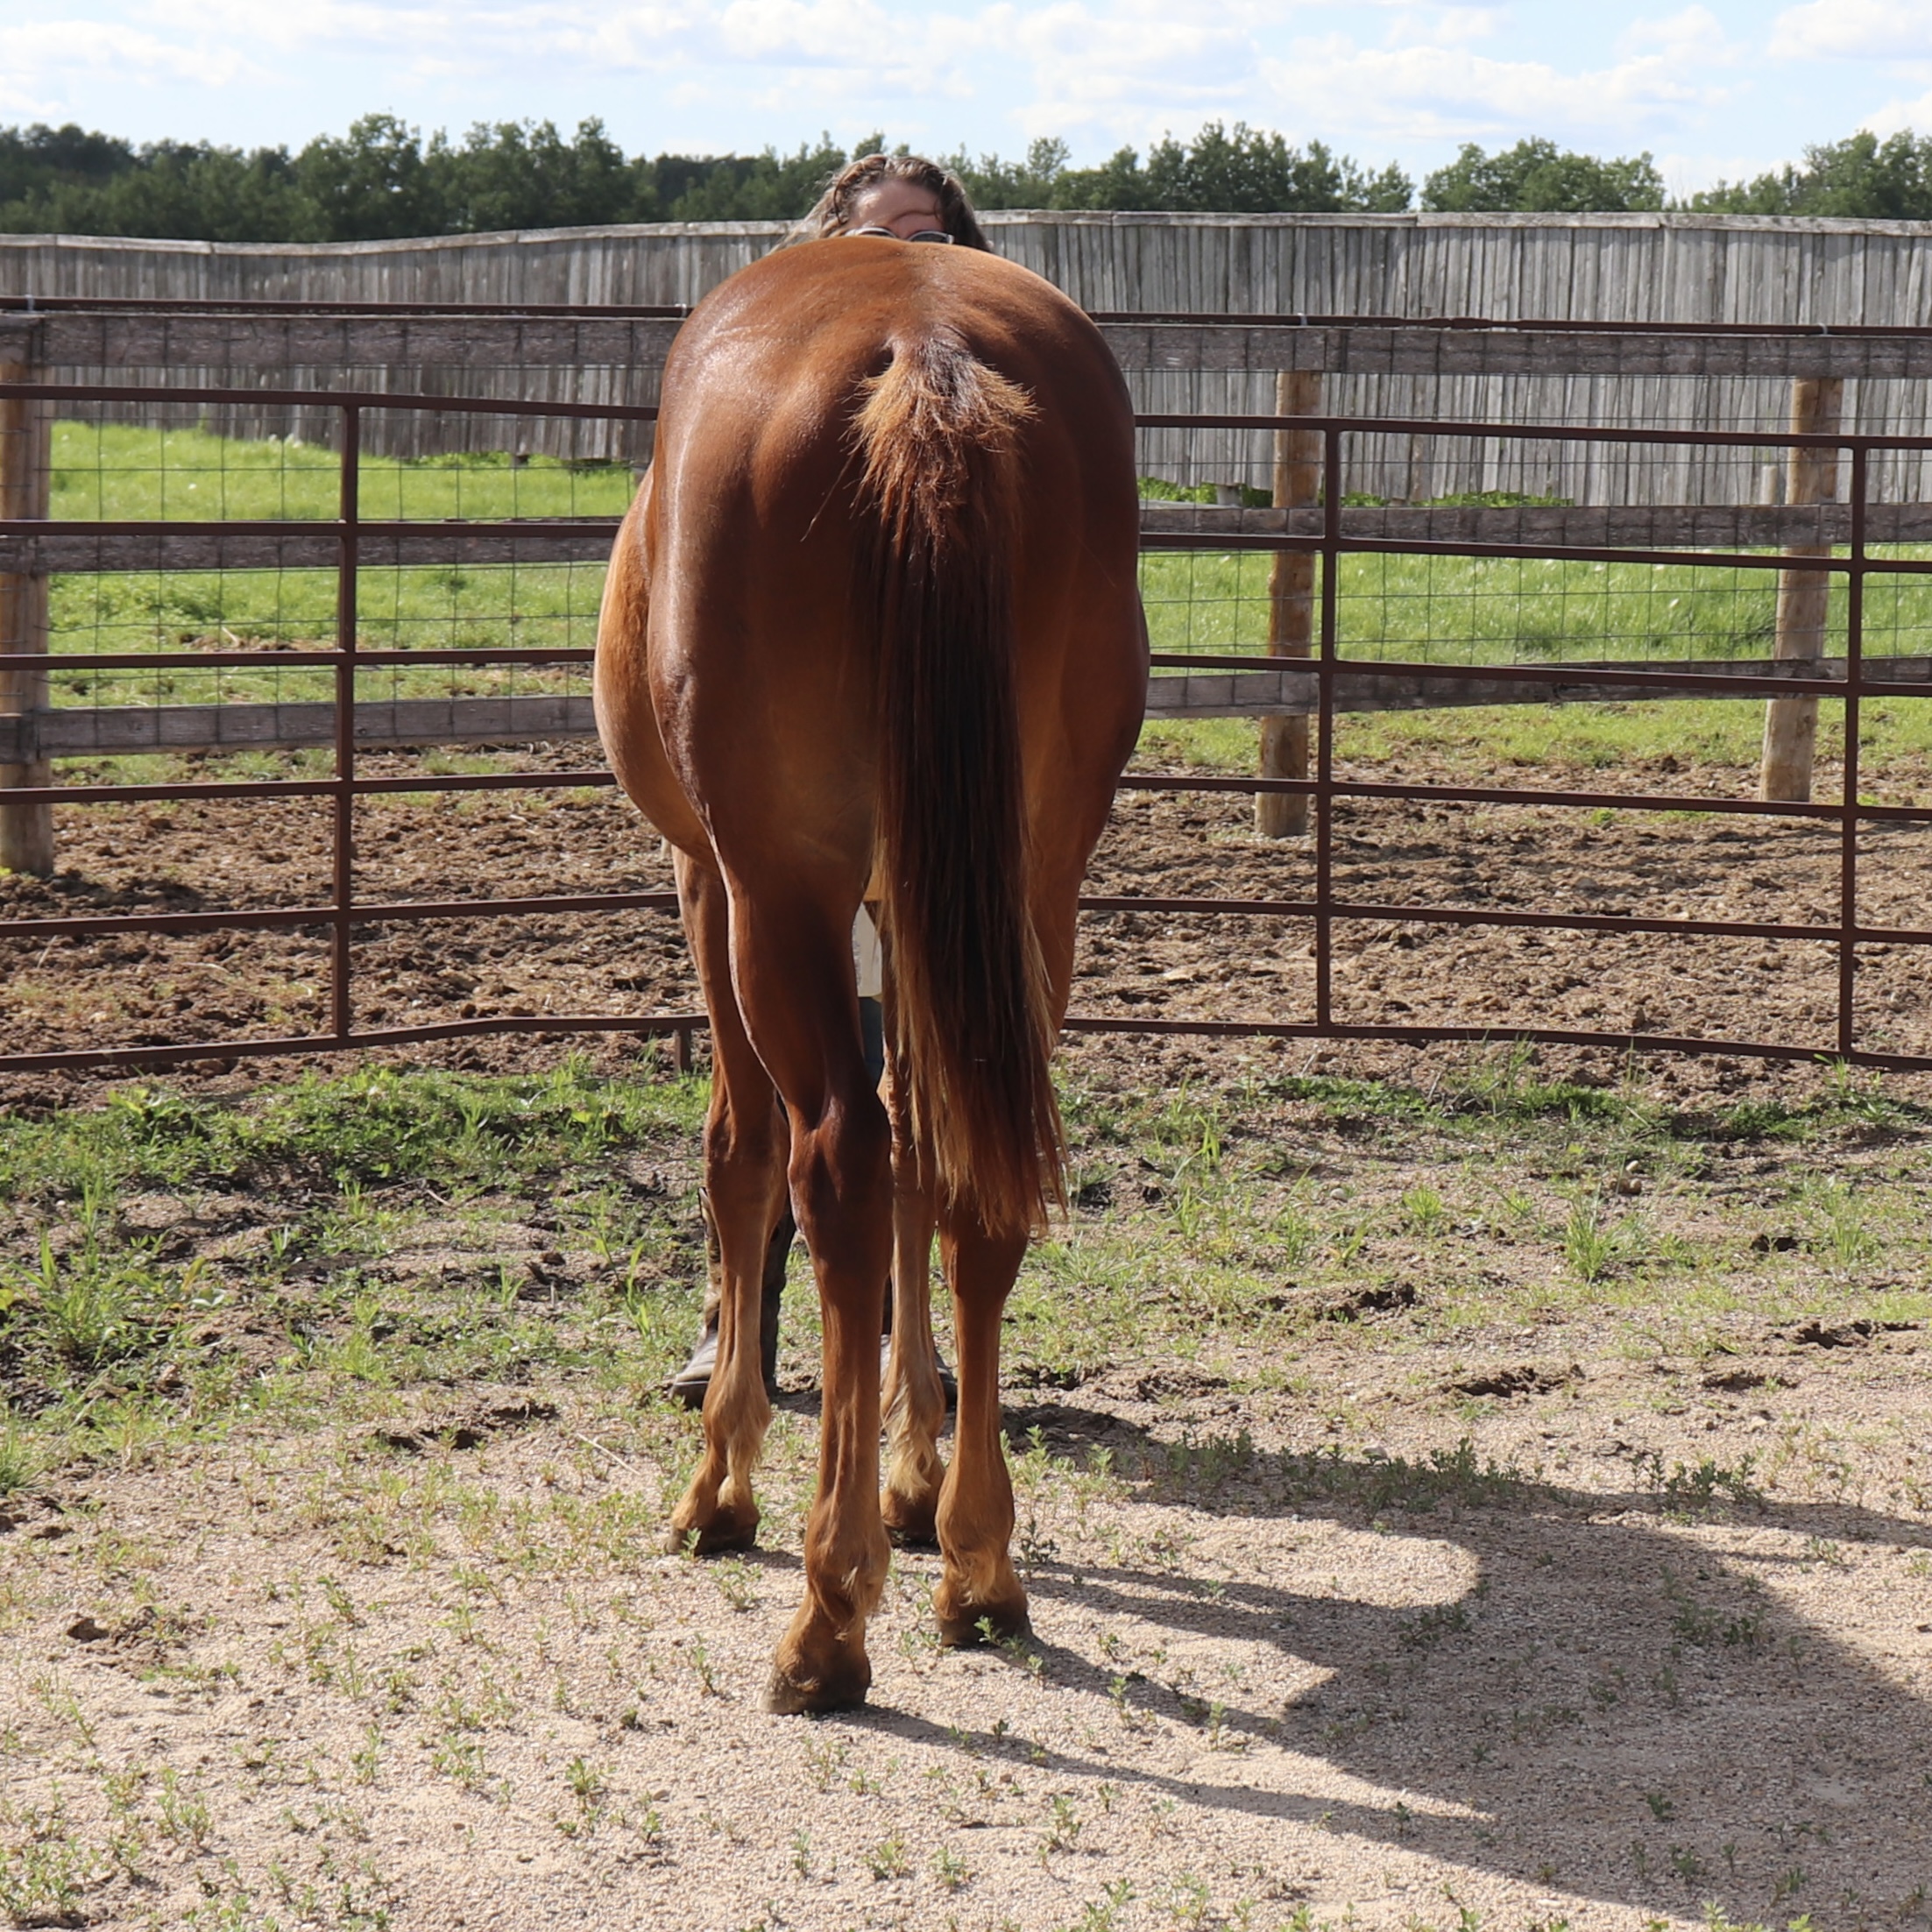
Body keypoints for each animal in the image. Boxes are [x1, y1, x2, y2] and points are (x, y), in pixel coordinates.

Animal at [591, 237, 1143, 1708]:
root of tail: (922, 351)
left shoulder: (710, 882)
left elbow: (740, 1156)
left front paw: (723, 1482)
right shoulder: (917, 907)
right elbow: (921, 1158)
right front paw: (913, 1470)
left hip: (776, 892)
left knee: (831, 1157)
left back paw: (827, 1615)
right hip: (1031, 885)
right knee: (969, 1183)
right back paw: (980, 1565)